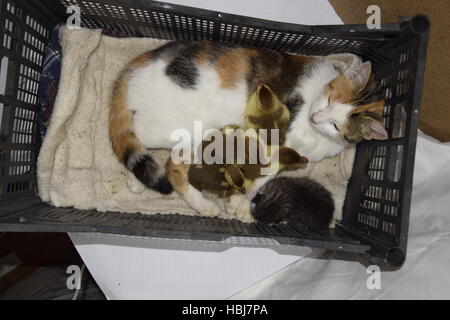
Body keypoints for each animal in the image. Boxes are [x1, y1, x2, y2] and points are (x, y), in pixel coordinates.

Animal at [109, 41, 386, 194]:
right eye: (328, 100)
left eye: (337, 125)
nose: (316, 117)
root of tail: (138, 63)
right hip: (170, 126)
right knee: (136, 133)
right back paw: (136, 178)